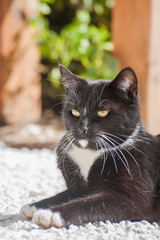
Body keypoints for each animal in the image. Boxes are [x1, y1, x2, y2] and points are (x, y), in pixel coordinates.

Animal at [20, 64, 160, 228]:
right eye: (75, 112)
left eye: (102, 112)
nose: (82, 128)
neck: (90, 152)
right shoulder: (78, 189)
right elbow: (66, 194)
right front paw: (35, 205)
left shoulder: (133, 198)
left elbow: (90, 203)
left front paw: (50, 213)